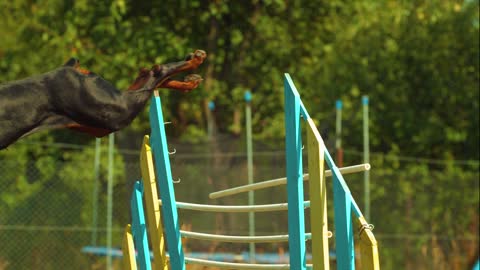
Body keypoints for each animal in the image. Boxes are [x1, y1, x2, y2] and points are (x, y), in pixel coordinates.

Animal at [0, 49, 206, 149]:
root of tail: (67, 68)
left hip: (115, 111)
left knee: (157, 72)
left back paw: (195, 61)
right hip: (97, 121)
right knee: (147, 75)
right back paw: (190, 81)